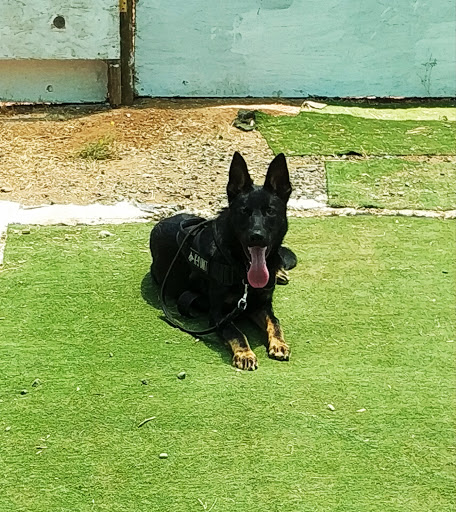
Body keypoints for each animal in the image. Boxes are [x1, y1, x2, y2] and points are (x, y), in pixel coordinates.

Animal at [151, 150, 296, 370]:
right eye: (244, 211)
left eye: (270, 211)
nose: (257, 236)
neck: (241, 268)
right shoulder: (219, 314)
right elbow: (236, 332)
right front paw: (245, 353)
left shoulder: (261, 305)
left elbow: (275, 322)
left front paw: (279, 343)